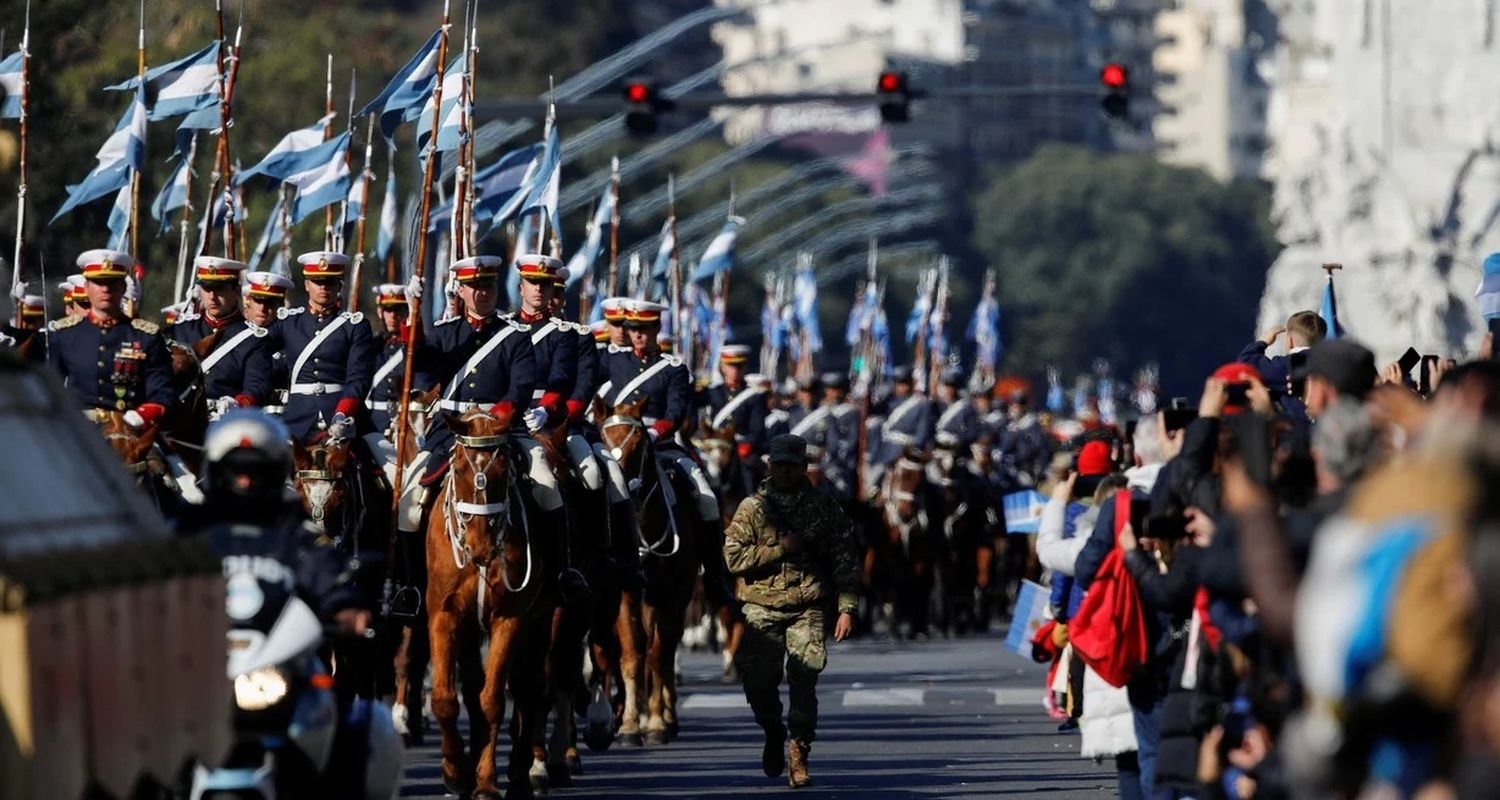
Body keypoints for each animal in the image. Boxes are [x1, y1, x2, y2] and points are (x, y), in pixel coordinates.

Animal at [429, 408, 552, 792]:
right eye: (459, 470)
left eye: (502, 471)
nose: (480, 548)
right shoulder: (444, 615)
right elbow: (446, 699)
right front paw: (455, 772)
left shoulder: (509, 618)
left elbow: (493, 700)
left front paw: (484, 781)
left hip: (541, 622)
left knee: (529, 689)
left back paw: (523, 771)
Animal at [594, 396, 699, 741]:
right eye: (602, 438)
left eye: (639, 441)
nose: (624, 487)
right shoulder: (628, 592)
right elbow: (632, 650)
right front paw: (629, 723)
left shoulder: (666, 594)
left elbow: (656, 653)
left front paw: (655, 721)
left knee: (666, 649)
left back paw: (666, 714)